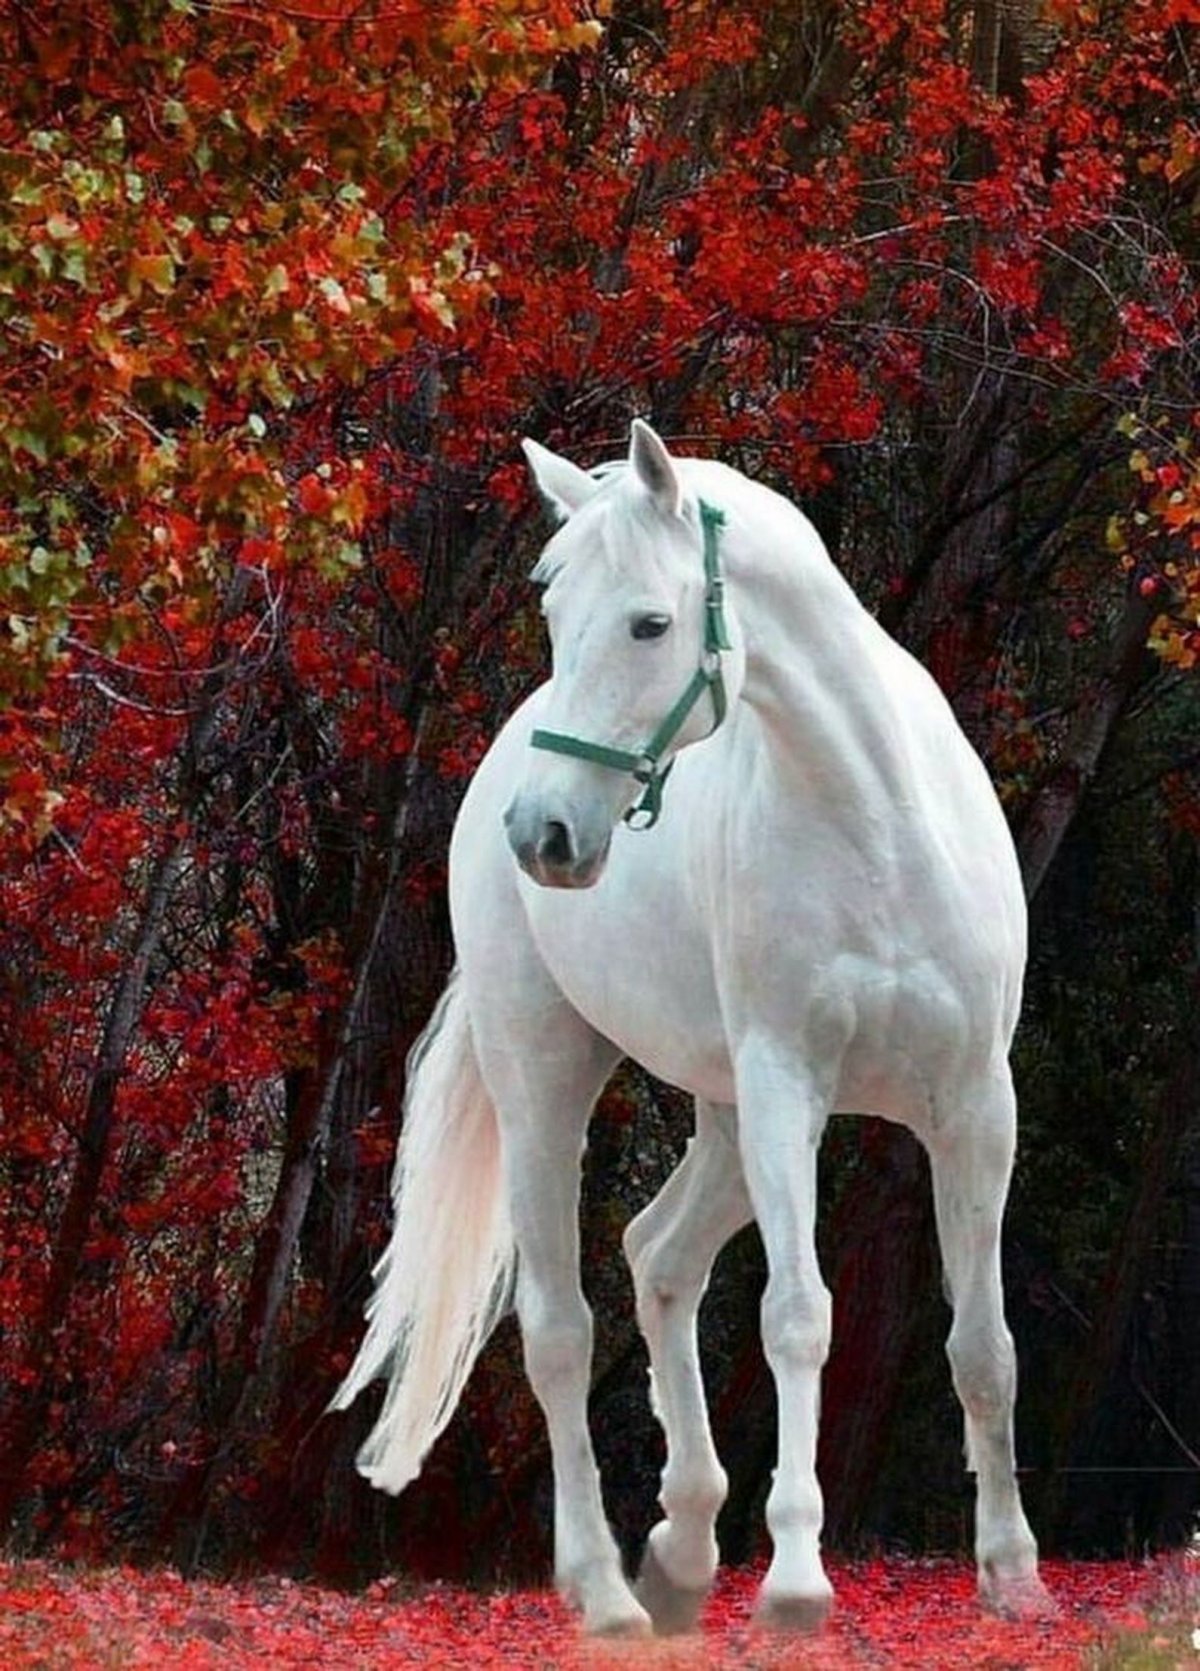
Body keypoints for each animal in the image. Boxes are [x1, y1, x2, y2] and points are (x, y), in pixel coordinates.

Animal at [331, 419, 1050, 1636]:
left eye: (649, 624)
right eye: (555, 617)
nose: (545, 834)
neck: (879, 824)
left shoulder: (973, 1112)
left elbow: (986, 1346)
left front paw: (1013, 1574)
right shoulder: (785, 1095)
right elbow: (797, 1317)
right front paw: (798, 1581)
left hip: (720, 1123)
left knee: (656, 1255)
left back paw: (681, 1547)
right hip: (553, 1087)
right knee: (562, 1327)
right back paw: (606, 1589)